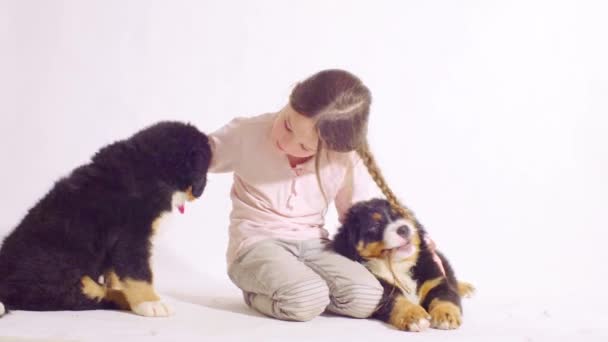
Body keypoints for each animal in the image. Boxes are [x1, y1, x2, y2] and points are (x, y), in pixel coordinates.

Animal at [0, 121, 213, 318]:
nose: (200, 192)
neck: (152, 168)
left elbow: (116, 274)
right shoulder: (133, 235)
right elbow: (139, 272)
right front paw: (150, 303)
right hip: (56, 276)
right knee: (82, 296)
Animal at [334, 198, 472, 332]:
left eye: (400, 215)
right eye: (375, 225)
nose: (404, 228)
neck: (398, 265)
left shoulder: (435, 281)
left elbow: (444, 297)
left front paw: (446, 315)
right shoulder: (381, 290)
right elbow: (397, 300)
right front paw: (414, 315)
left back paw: (466, 287)